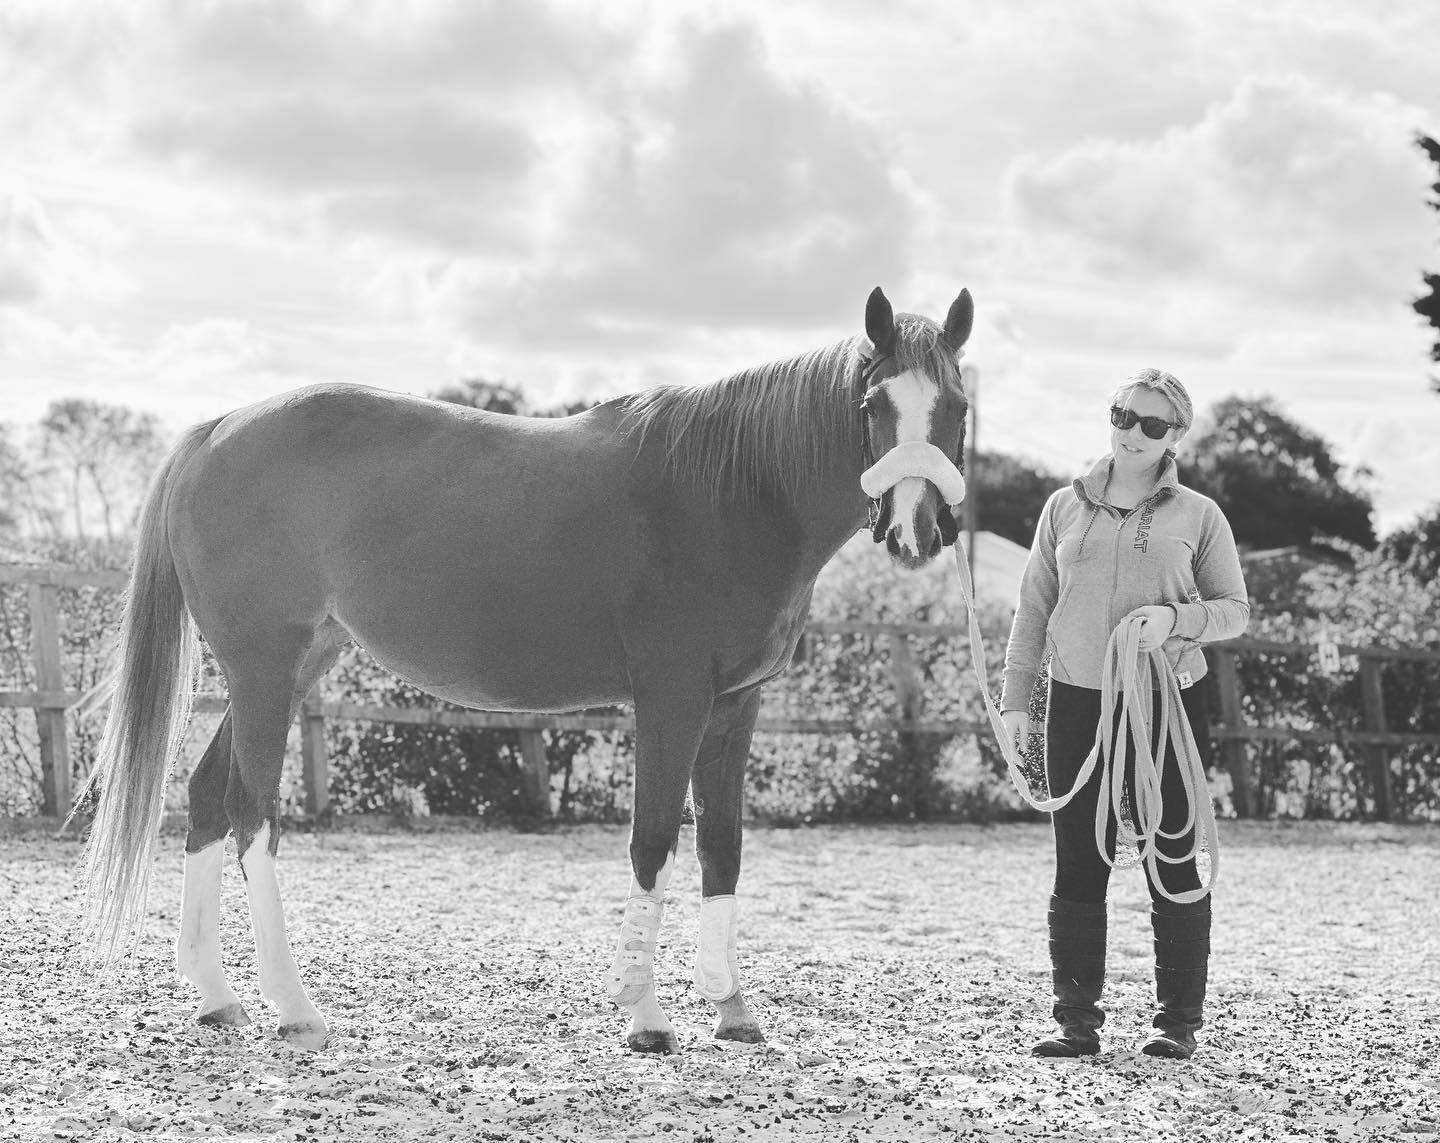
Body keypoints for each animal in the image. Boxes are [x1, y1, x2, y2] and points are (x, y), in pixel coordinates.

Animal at [74, 285, 975, 1054]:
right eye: (874, 405)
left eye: (957, 407)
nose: (916, 530)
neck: (733, 492)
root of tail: (217, 429)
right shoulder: (671, 699)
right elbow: (653, 840)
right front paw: (645, 1015)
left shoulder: (735, 705)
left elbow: (722, 844)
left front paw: (732, 1007)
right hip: (264, 669)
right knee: (252, 813)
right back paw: (294, 1007)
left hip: (289, 668)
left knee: (204, 797)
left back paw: (217, 994)